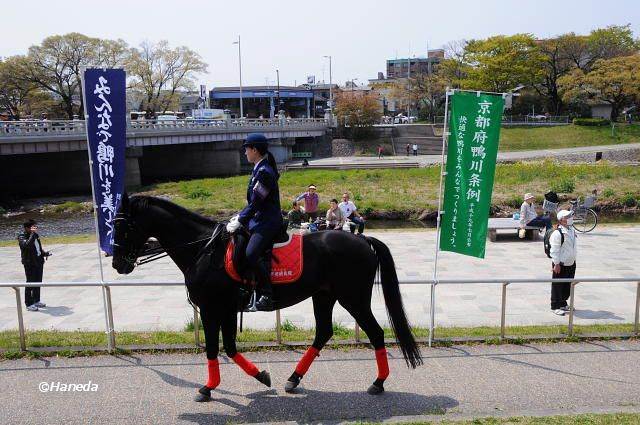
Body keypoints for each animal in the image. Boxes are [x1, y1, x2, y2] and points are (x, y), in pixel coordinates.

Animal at [112, 195, 422, 400]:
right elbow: (229, 348)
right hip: (323, 296)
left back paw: (378, 383)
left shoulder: (212, 309)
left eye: (123, 226)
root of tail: (361, 239)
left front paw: (208, 388)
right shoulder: (226, 309)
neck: (204, 249)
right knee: (323, 332)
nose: (117, 264)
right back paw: (293, 379)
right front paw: (261, 376)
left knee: (376, 333)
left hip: (353, 298)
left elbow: (214, 348)